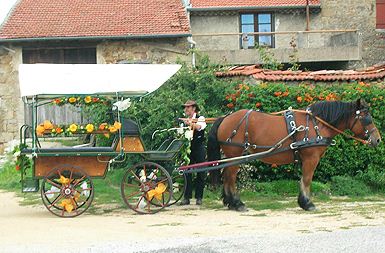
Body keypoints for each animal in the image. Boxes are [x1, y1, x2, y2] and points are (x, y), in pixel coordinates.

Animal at [206, 99, 380, 211]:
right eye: (366, 118)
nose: (377, 139)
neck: (317, 125)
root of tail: (225, 118)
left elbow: (303, 179)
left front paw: (303, 202)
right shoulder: (311, 158)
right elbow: (307, 179)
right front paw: (307, 203)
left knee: (226, 176)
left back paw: (229, 202)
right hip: (236, 155)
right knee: (230, 177)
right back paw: (237, 203)